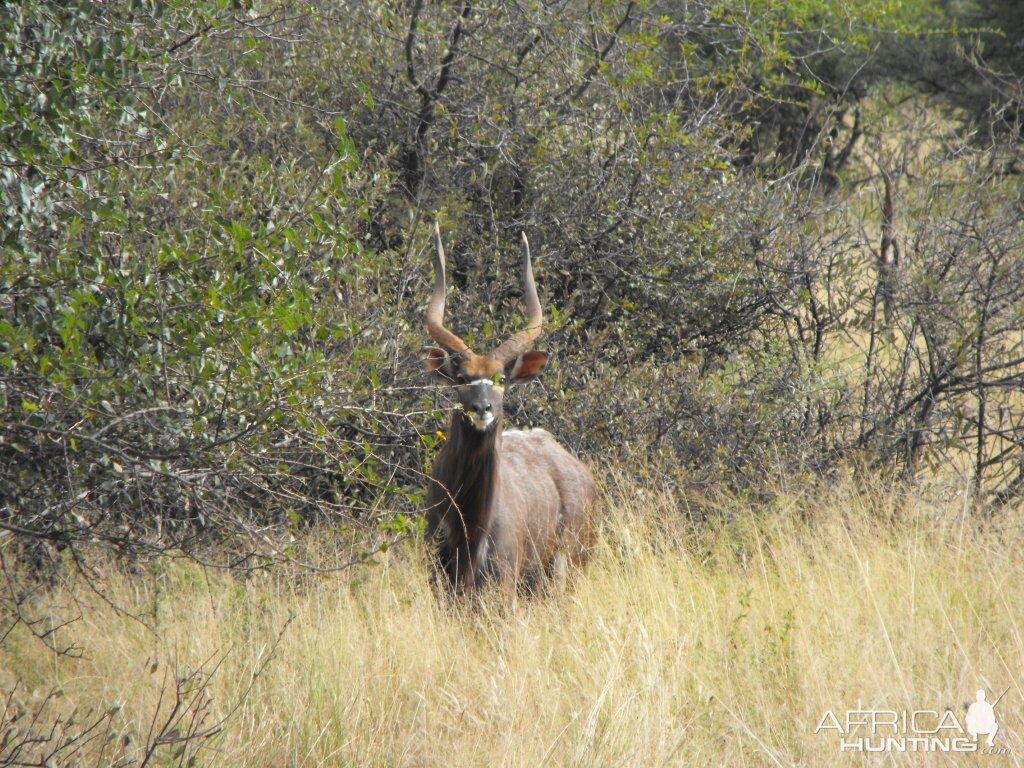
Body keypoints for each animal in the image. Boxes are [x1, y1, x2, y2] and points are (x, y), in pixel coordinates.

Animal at [421, 222, 598, 593]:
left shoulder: (503, 582)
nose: (482, 408)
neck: (469, 528)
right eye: (461, 378)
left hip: (565, 569)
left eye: (500, 378)